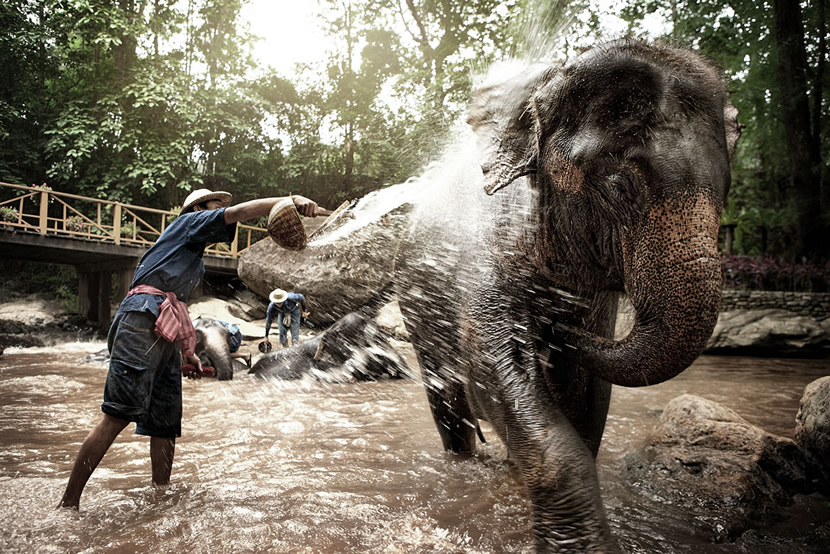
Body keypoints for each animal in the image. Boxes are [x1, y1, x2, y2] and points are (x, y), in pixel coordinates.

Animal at [394, 39, 741, 552]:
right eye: (620, 186)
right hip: (416, 306)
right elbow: (488, 368)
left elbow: (587, 394)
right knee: (449, 405)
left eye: (727, 189)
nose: (553, 328)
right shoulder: (479, 262)